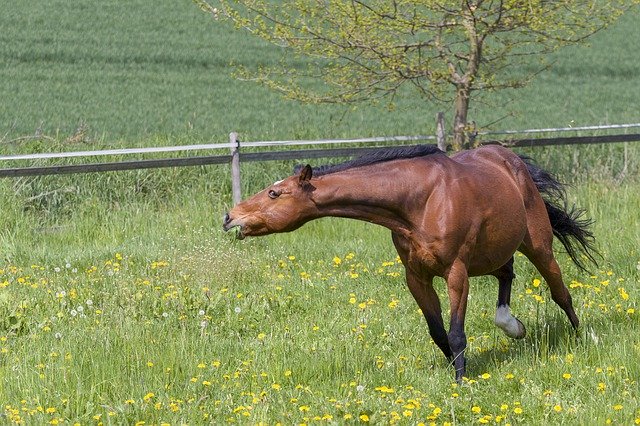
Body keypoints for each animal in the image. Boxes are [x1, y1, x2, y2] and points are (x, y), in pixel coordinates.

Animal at [221, 145, 596, 382]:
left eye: (274, 193)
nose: (229, 216)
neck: (419, 200)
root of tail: (512, 160)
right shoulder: (417, 277)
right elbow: (437, 332)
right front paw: (456, 368)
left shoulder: (455, 272)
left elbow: (456, 332)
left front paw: (461, 382)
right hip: (492, 254)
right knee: (508, 275)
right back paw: (512, 326)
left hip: (537, 246)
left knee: (560, 291)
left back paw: (581, 338)